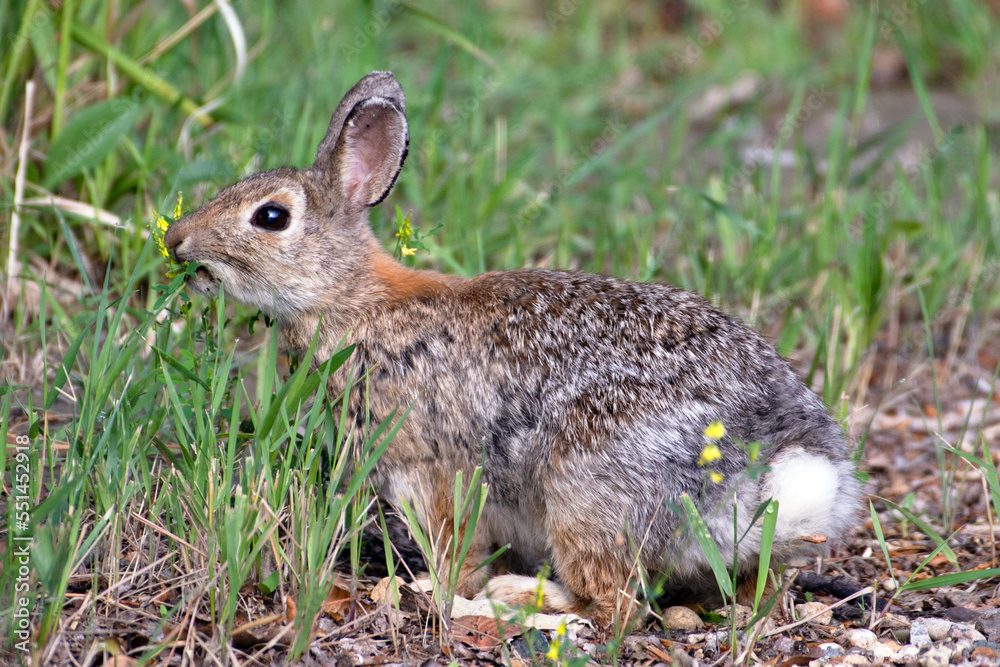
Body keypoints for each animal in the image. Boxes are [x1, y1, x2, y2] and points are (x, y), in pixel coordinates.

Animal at [164, 71, 861, 625]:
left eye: (271, 217)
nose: (176, 241)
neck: (354, 300)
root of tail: (767, 465)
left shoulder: (429, 472)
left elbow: (456, 551)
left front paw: (435, 591)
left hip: (583, 492)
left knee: (617, 607)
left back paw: (521, 602)